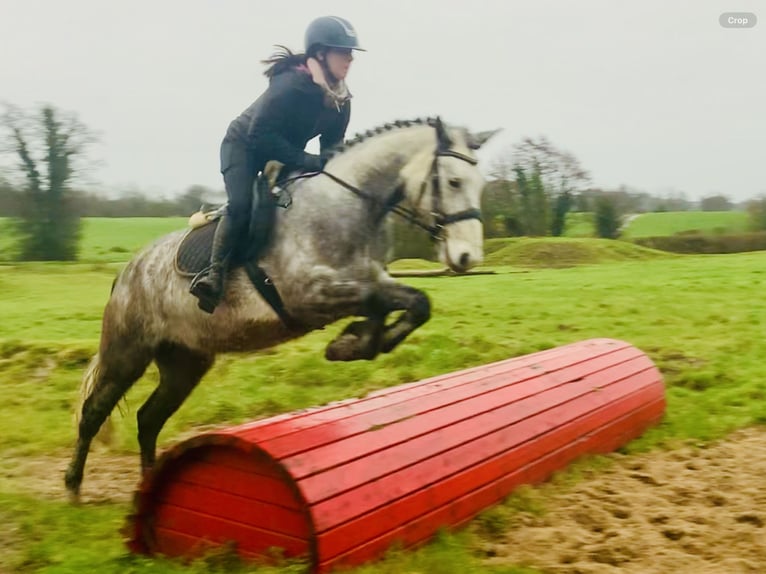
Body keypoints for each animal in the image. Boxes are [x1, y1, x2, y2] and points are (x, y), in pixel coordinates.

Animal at [64, 116, 498, 500]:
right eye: (454, 181)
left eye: (480, 186)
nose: (467, 258)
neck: (344, 207)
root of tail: (127, 272)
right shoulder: (311, 295)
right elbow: (387, 302)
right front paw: (351, 343)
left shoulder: (368, 282)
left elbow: (413, 303)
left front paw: (354, 342)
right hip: (128, 352)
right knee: (94, 411)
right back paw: (73, 489)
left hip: (184, 362)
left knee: (148, 419)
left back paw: (148, 486)